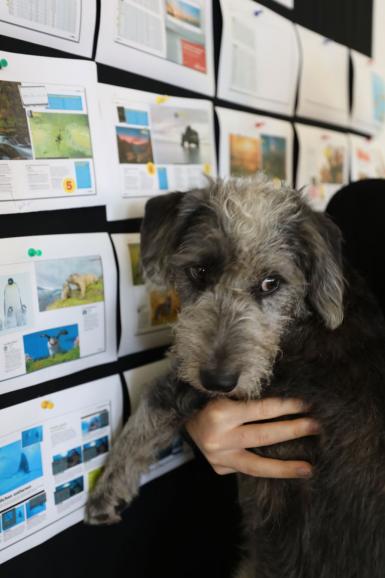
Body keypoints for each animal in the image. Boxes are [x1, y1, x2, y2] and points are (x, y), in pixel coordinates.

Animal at [85, 176, 384, 576]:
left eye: (272, 283)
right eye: (199, 272)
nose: (218, 379)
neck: (301, 322)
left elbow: (151, 404)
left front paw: (107, 488)